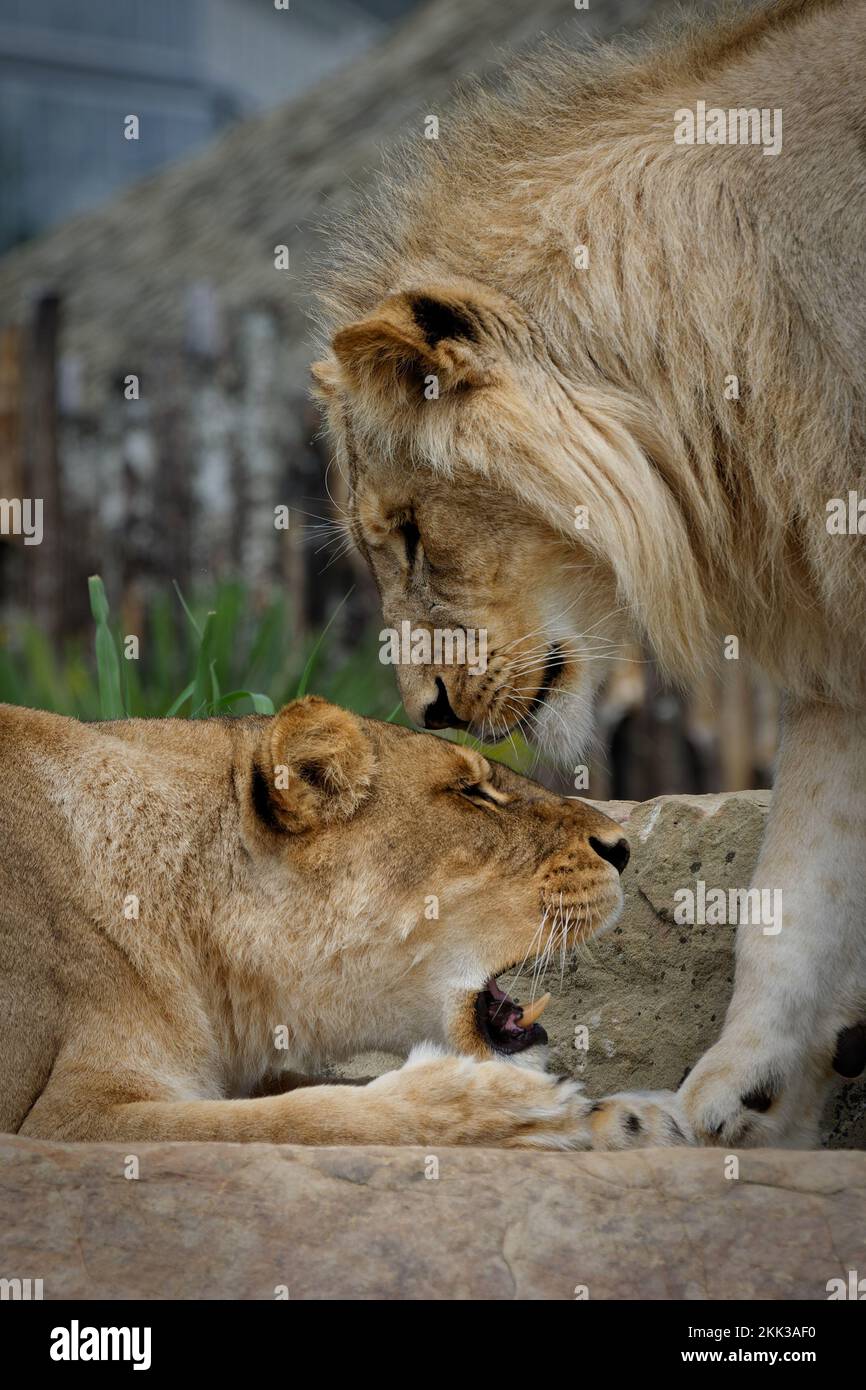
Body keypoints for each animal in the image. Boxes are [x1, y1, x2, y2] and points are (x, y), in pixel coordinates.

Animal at [0, 700, 670, 1145]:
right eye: (472, 793)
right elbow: (301, 1116)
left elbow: (309, 1087)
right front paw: (506, 1107)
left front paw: (625, 1115)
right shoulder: (66, 1117)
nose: (623, 848)